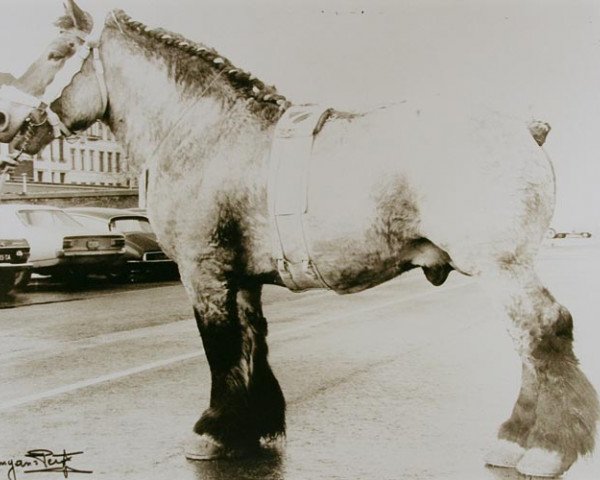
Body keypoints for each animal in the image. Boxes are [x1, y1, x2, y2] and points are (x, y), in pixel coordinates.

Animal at [0, 0, 596, 476]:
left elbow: (219, 349)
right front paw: (253, 427)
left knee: (544, 330)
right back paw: (512, 440)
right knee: (528, 342)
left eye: (57, 52)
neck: (203, 131)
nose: (5, 119)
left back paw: (544, 448)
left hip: (502, 265)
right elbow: (251, 342)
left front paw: (213, 431)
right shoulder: (241, 276)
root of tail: (526, 129)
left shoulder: (203, 271)